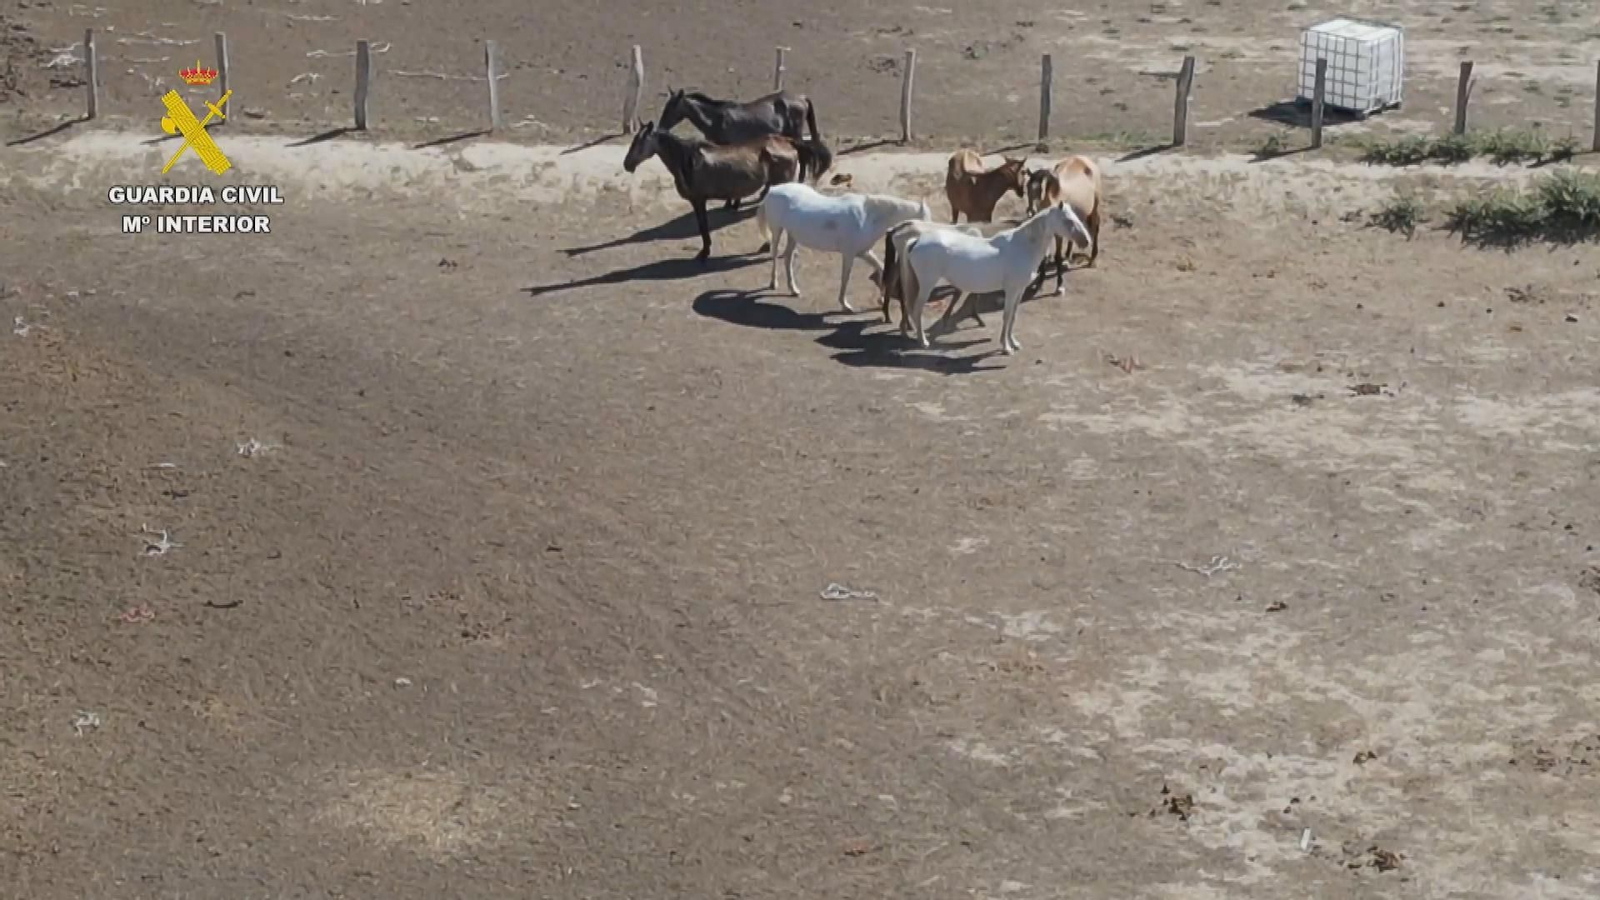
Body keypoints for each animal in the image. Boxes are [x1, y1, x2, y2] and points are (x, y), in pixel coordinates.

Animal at [623, 121, 823, 263]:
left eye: (641, 142)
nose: (627, 164)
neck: (688, 161)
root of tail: (787, 142)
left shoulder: (699, 200)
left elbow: (703, 227)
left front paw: (704, 252)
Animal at [755, 181, 932, 314]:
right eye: (925, 222)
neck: (868, 216)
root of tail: (773, 189)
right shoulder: (849, 254)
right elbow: (845, 278)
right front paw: (845, 305)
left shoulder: (863, 252)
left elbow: (881, 268)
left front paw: (880, 299)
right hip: (777, 230)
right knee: (775, 254)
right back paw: (773, 283)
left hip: (793, 235)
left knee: (788, 257)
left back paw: (794, 289)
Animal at [904, 202, 1092, 356]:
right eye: (1068, 220)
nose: (1086, 241)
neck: (1022, 246)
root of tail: (917, 241)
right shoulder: (1011, 290)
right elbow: (1007, 316)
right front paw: (1006, 347)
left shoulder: (1019, 290)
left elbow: (1013, 316)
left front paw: (1014, 343)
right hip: (927, 284)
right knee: (917, 310)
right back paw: (923, 342)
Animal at [1024, 155, 1105, 293]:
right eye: (1027, 188)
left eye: (1039, 189)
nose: (1031, 211)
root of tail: (1084, 159)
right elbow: (1044, 257)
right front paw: (1039, 284)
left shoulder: (1058, 236)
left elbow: (1057, 257)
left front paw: (1059, 286)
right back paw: (1067, 258)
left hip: (1094, 209)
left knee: (1095, 229)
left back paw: (1092, 260)